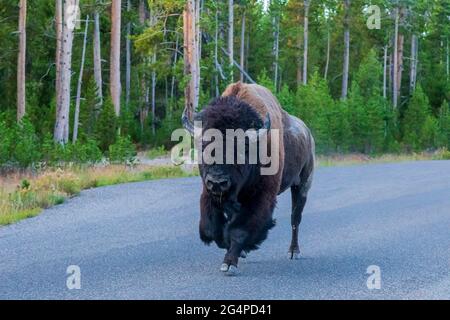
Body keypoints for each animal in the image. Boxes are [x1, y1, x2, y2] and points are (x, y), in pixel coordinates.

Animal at [181, 82, 314, 276]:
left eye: (238, 150)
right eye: (203, 146)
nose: (217, 182)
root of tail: (307, 133)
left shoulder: (261, 197)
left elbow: (239, 230)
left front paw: (229, 263)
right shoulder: (209, 193)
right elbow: (211, 228)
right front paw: (232, 247)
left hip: (302, 185)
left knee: (295, 218)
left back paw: (293, 252)